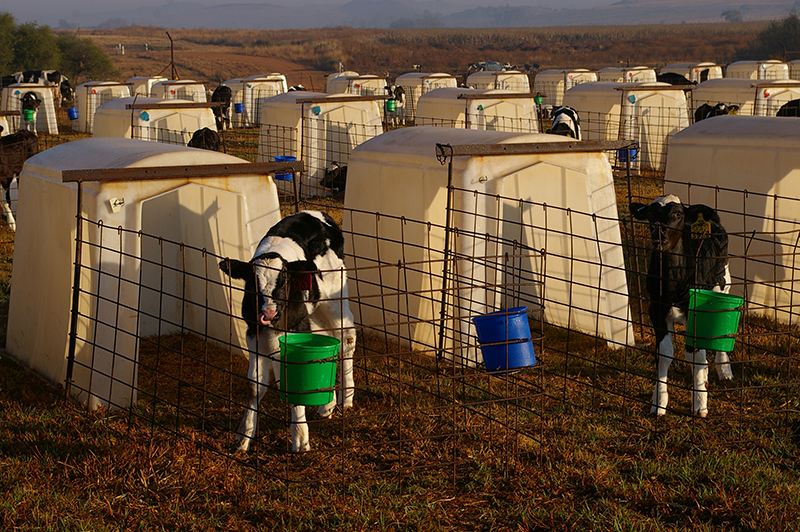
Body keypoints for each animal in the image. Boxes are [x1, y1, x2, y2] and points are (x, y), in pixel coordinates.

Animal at [219, 210, 356, 450]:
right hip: (314, 311)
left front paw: (300, 438)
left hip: (335, 294)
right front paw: (243, 436)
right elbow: (254, 386)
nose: (269, 313)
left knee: (346, 336)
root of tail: (316, 214)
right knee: (327, 339)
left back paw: (346, 397)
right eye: (252, 285)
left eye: (284, 282)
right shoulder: (253, 334)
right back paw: (326, 405)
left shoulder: (295, 328)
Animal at [632, 194, 732, 416]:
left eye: (678, 213)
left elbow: (695, 354)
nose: (658, 234)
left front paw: (699, 402)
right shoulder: (656, 309)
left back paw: (724, 369)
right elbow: (664, 354)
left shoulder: (696, 311)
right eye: (649, 214)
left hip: (723, 289)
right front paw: (659, 401)